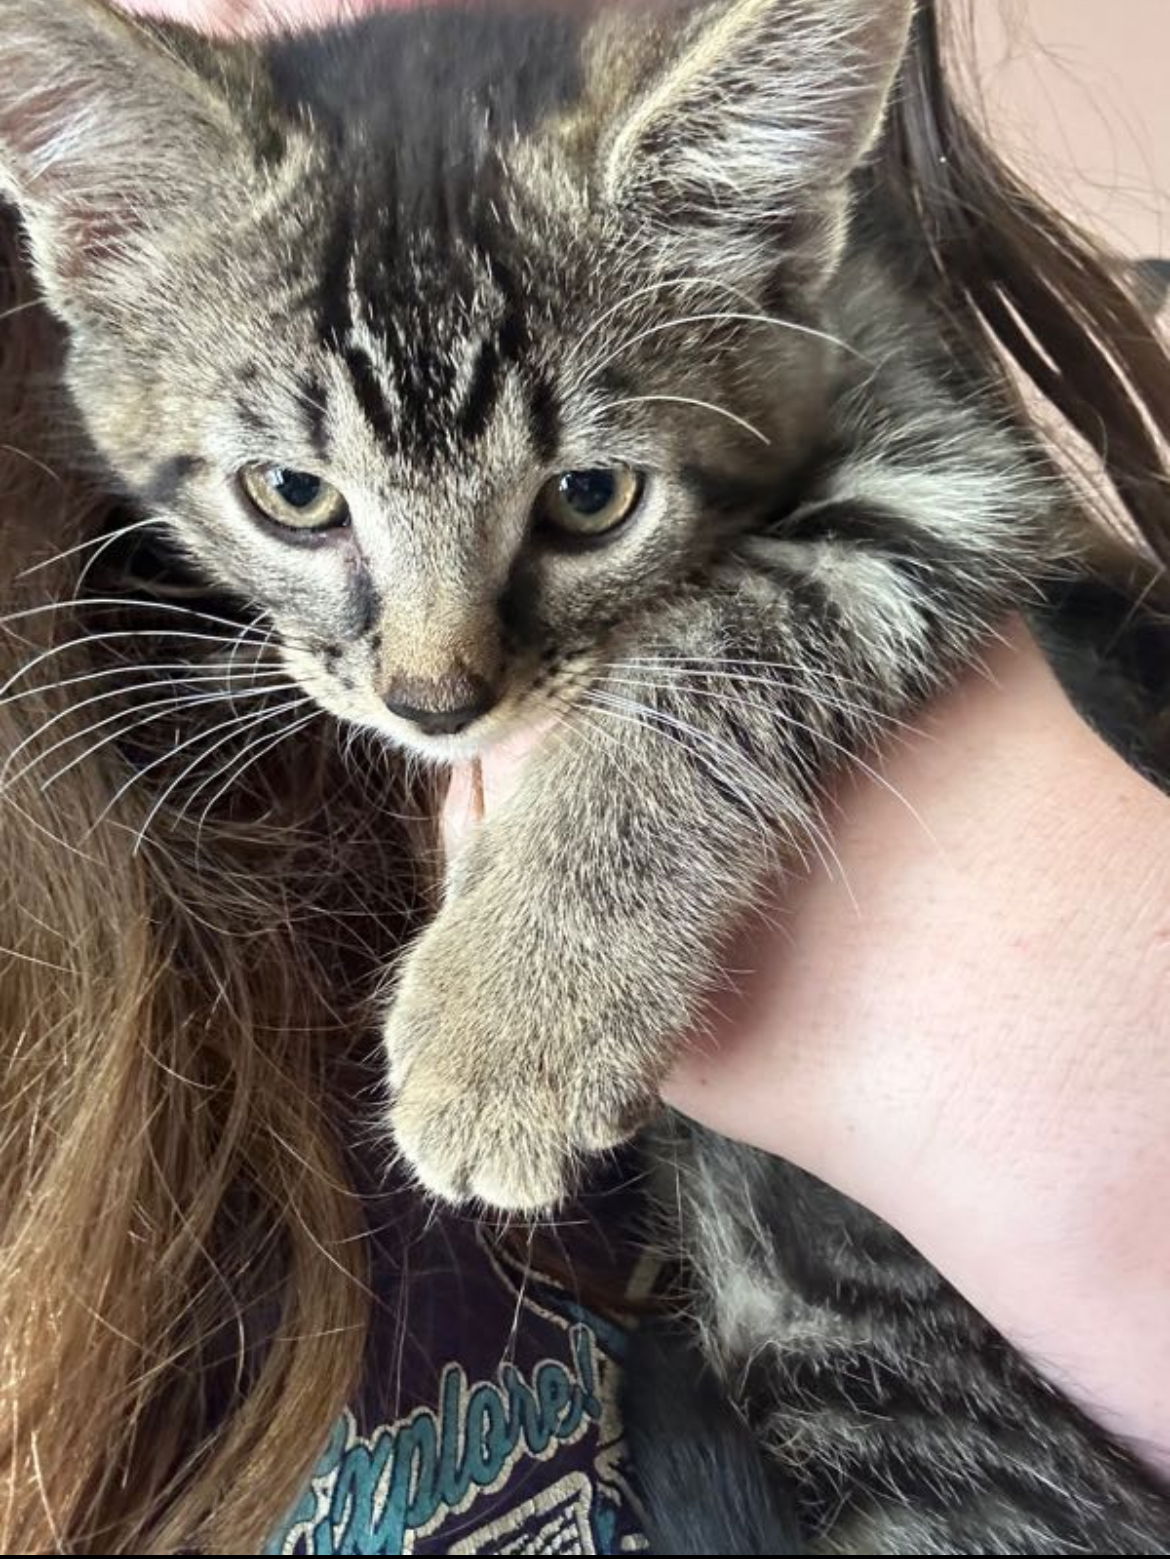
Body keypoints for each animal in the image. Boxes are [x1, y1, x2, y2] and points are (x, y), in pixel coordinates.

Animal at [2, 0, 1170, 1546]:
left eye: (591, 499)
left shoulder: (952, 473)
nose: (437, 699)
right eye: (293, 496)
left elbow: (727, 641)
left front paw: (511, 1022)